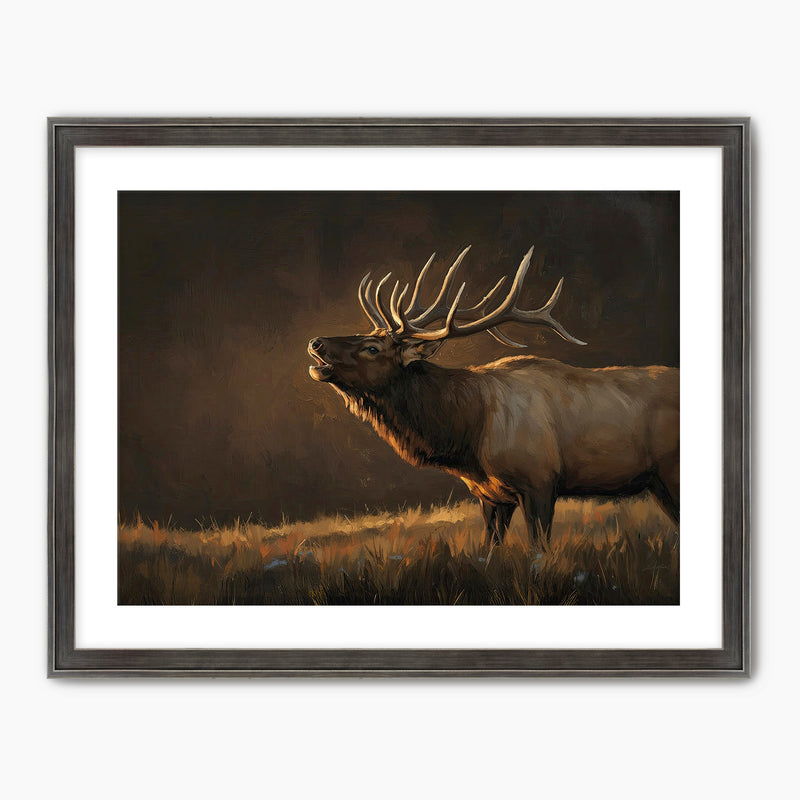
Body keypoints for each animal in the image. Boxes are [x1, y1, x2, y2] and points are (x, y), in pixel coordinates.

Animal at [308, 245, 679, 546]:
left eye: (372, 347)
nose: (316, 342)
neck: (469, 437)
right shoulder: (491, 495)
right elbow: (488, 552)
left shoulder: (540, 481)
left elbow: (538, 552)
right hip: (658, 483)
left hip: (670, 471)